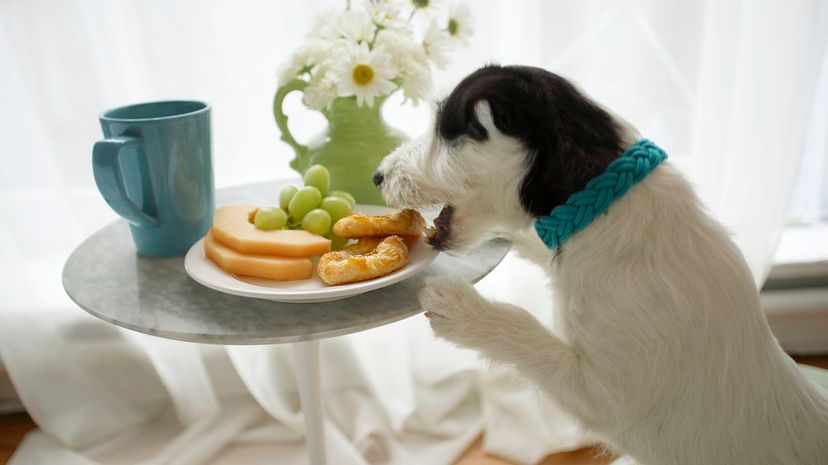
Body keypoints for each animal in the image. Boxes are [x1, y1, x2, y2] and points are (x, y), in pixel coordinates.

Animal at [376, 65, 828, 464]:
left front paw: (460, 308)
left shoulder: (603, 395)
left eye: (446, 131)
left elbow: (526, 331)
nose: (377, 175)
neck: (599, 202)